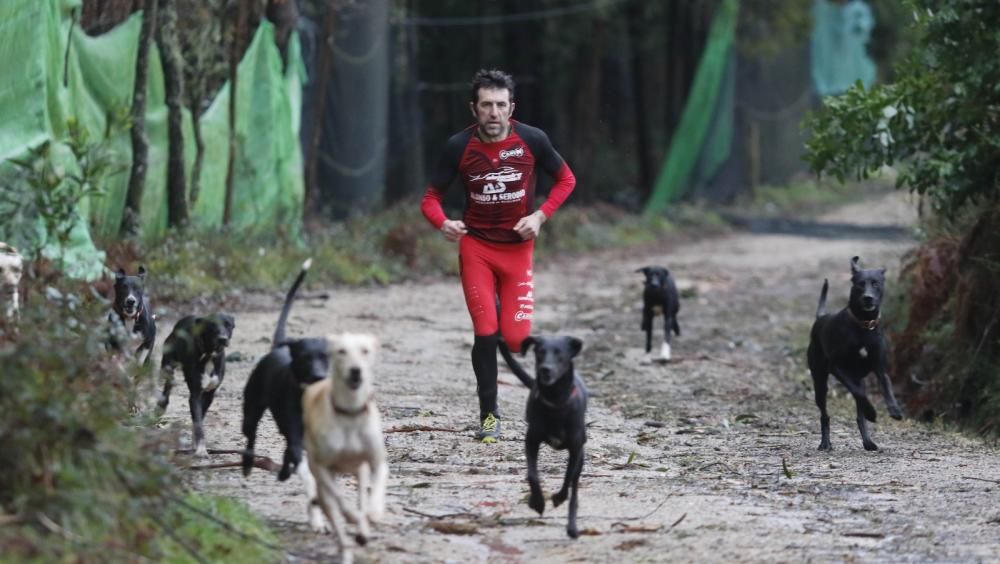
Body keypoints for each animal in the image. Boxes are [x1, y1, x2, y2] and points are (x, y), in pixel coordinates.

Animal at [160, 312, 238, 458]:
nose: (222, 339)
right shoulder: (194, 395)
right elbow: (198, 422)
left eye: (228, 325)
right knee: (167, 387)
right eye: (212, 325)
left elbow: (199, 418)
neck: (210, 355)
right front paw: (201, 450)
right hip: (168, 365)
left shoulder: (209, 395)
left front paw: (196, 444)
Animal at [240, 258, 330, 482]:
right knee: (250, 434)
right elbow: (295, 447)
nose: (318, 376)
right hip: (252, 407)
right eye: (305, 358)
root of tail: (278, 348)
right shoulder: (293, 425)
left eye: (325, 356)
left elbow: (293, 448)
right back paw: (248, 464)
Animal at [300, 332, 386, 560]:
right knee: (335, 516)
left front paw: (374, 513)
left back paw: (363, 529)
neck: (351, 412)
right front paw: (352, 517)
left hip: (360, 472)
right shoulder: (321, 467)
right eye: (341, 351)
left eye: (365, 350)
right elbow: (339, 499)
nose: (355, 370)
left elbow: (376, 488)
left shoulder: (376, 461)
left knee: (362, 497)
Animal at [498, 334, 584, 536]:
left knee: (574, 486)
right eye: (539, 352)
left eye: (560, 354)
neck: (555, 402)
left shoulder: (576, 449)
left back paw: (571, 523)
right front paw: (537, 502)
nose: (545, 369)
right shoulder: (531, 440)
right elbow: (532, 475)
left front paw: (559, 499)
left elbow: (569, 479)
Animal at [804, 258, 908, 452]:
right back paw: (825, 443)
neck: (863, 326)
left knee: (859, 412)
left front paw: (895, 410)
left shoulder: (880, 369)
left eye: (876, 283)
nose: (868, 297)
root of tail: (820, 318)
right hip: (820, 380)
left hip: (857, 378)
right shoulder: (837, 368)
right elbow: (858, 393)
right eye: (860, 284)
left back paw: (868, 441)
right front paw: (872, 412)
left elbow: (887, 387)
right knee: (825, 413)